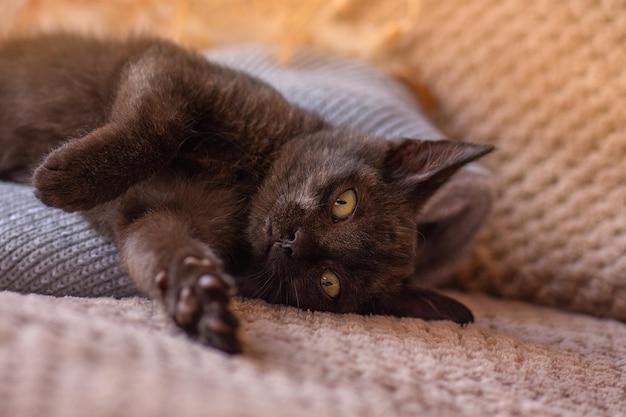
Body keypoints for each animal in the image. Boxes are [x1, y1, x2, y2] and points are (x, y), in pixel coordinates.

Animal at [0, 33, 492, 352]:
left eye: (329, 282)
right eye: (344, 203)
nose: (293, 242)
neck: (243, 191)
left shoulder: (153, 217)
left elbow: (162, 252)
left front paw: (199, 302)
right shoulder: (173, 70)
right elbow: (156, 128)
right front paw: (65, 179)